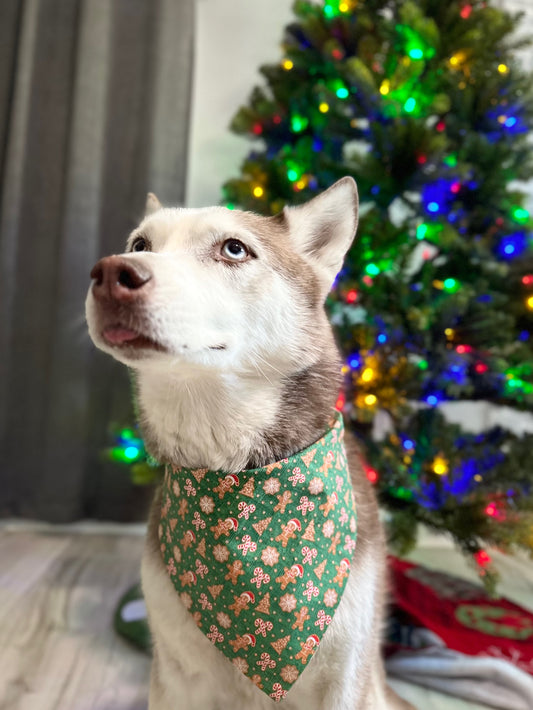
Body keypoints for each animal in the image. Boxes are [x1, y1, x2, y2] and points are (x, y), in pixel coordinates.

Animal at [86, 179, 412, 710]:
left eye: (234, 249)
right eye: (139, 244)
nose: (112, 272)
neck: (236, 477)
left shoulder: (346, 677)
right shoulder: (175, 677)